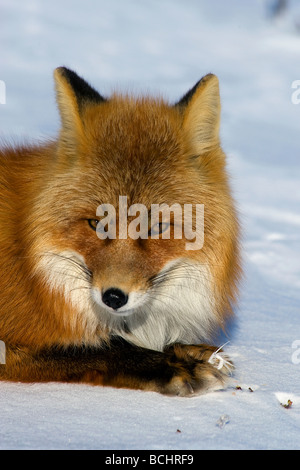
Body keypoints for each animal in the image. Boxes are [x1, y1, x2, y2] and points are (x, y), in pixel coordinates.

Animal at [0, 68, 240, 394]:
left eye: (157, 227)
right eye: (97, 224)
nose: (113, 297)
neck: (31, 267)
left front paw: (188, 350)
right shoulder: (13, 347)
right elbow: (100, 350)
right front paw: (173, 363)